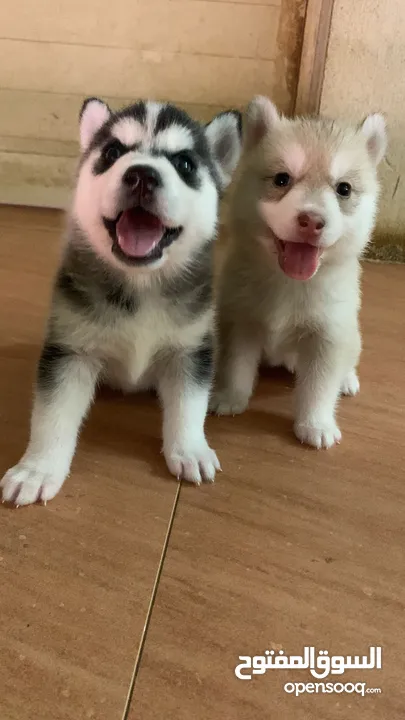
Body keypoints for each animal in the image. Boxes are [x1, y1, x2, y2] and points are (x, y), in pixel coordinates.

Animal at [1, 98, 241, 506]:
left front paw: (190, 449)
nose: (142, 175)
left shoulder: (190, 349)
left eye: (185, 164)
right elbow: (52, 416)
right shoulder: (71, 350)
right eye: (113, 153)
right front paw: (37, 469)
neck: (140, 284)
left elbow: (189, 405)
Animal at [210, 95, 386, 444]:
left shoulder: (329, 335)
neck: (289, 283)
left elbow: (319, 387)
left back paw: (347, 379)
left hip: (352, 336)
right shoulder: (241, 320)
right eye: (282, 179)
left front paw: (316, 424)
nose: (312, 220)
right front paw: (231, 396)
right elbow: (237, 365)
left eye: (344, 189)